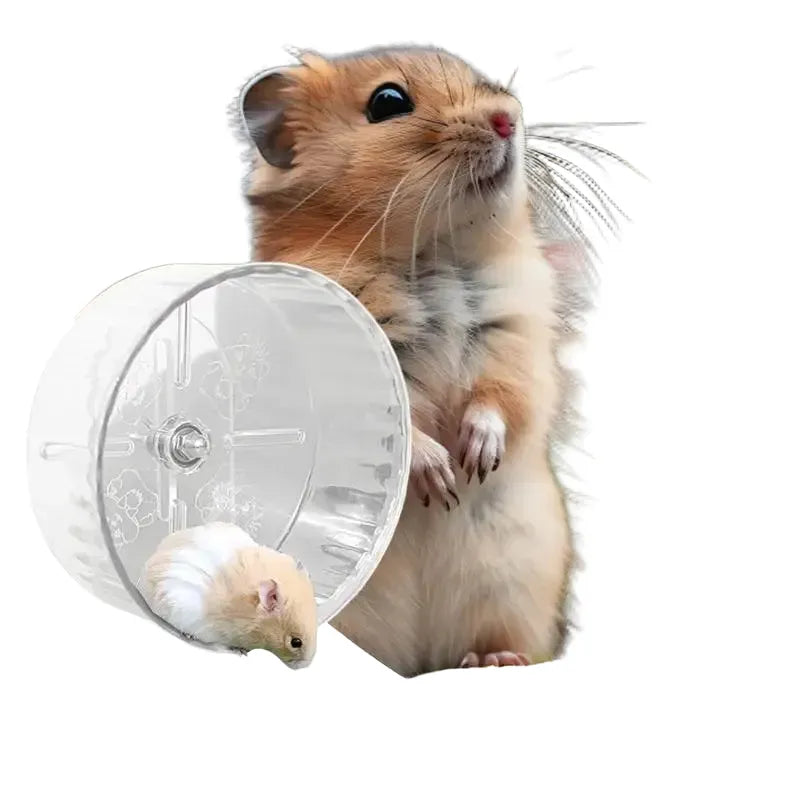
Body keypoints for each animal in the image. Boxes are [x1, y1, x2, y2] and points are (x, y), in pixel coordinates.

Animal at [237, 47, 576, 676]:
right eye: (388, 101)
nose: (508, 118)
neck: (434, 249)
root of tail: (416, 664)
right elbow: (398, 429)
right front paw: (439, 479)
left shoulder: (517, 345)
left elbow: (501, 401)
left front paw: (473, 461)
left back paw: (495, 660)